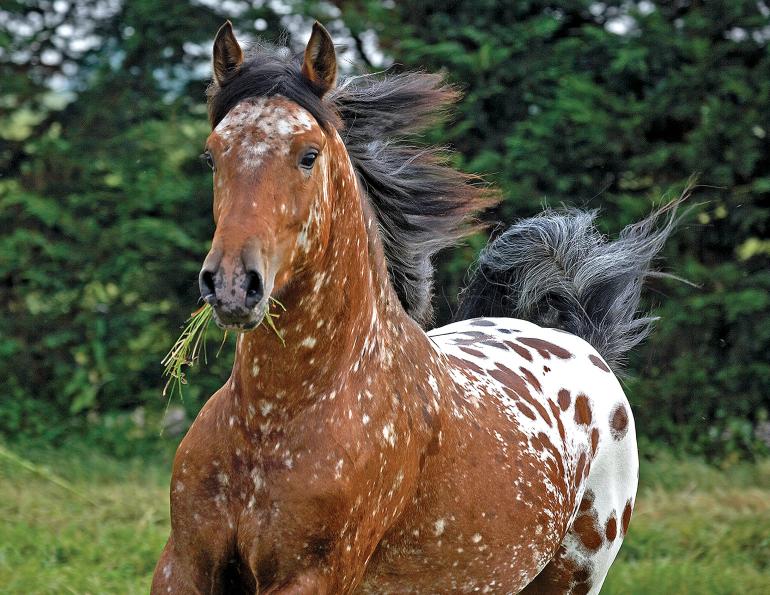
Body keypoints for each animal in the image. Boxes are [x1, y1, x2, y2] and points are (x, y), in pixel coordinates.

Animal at [152, 21, 682, 594]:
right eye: (212, 154)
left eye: (308, 154)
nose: (231, 284)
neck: (272, 419)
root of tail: (581, 340)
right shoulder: (183, 563)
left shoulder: (312, 575)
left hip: (572, 578)